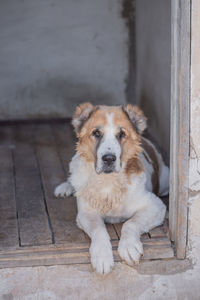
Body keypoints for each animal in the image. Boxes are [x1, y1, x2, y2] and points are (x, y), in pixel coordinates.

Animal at [54, 102, 169, 274]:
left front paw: (129, 247)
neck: (108, 182)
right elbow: (99, 229)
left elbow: (130, 223)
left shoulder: (156, 206)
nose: (109, 158)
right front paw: (102, 255)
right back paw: (66, 186)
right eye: (96, 133)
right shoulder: (86, 213)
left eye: (121, 134)